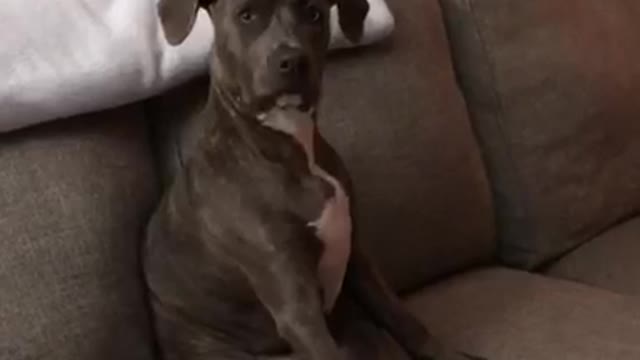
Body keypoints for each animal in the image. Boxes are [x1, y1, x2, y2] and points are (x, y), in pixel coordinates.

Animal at [144, 0, 484, 360]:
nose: (293, 61)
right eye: (246, 15)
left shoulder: (357, 257)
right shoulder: (295, 306)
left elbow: (402, 317)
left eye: (314, 13)